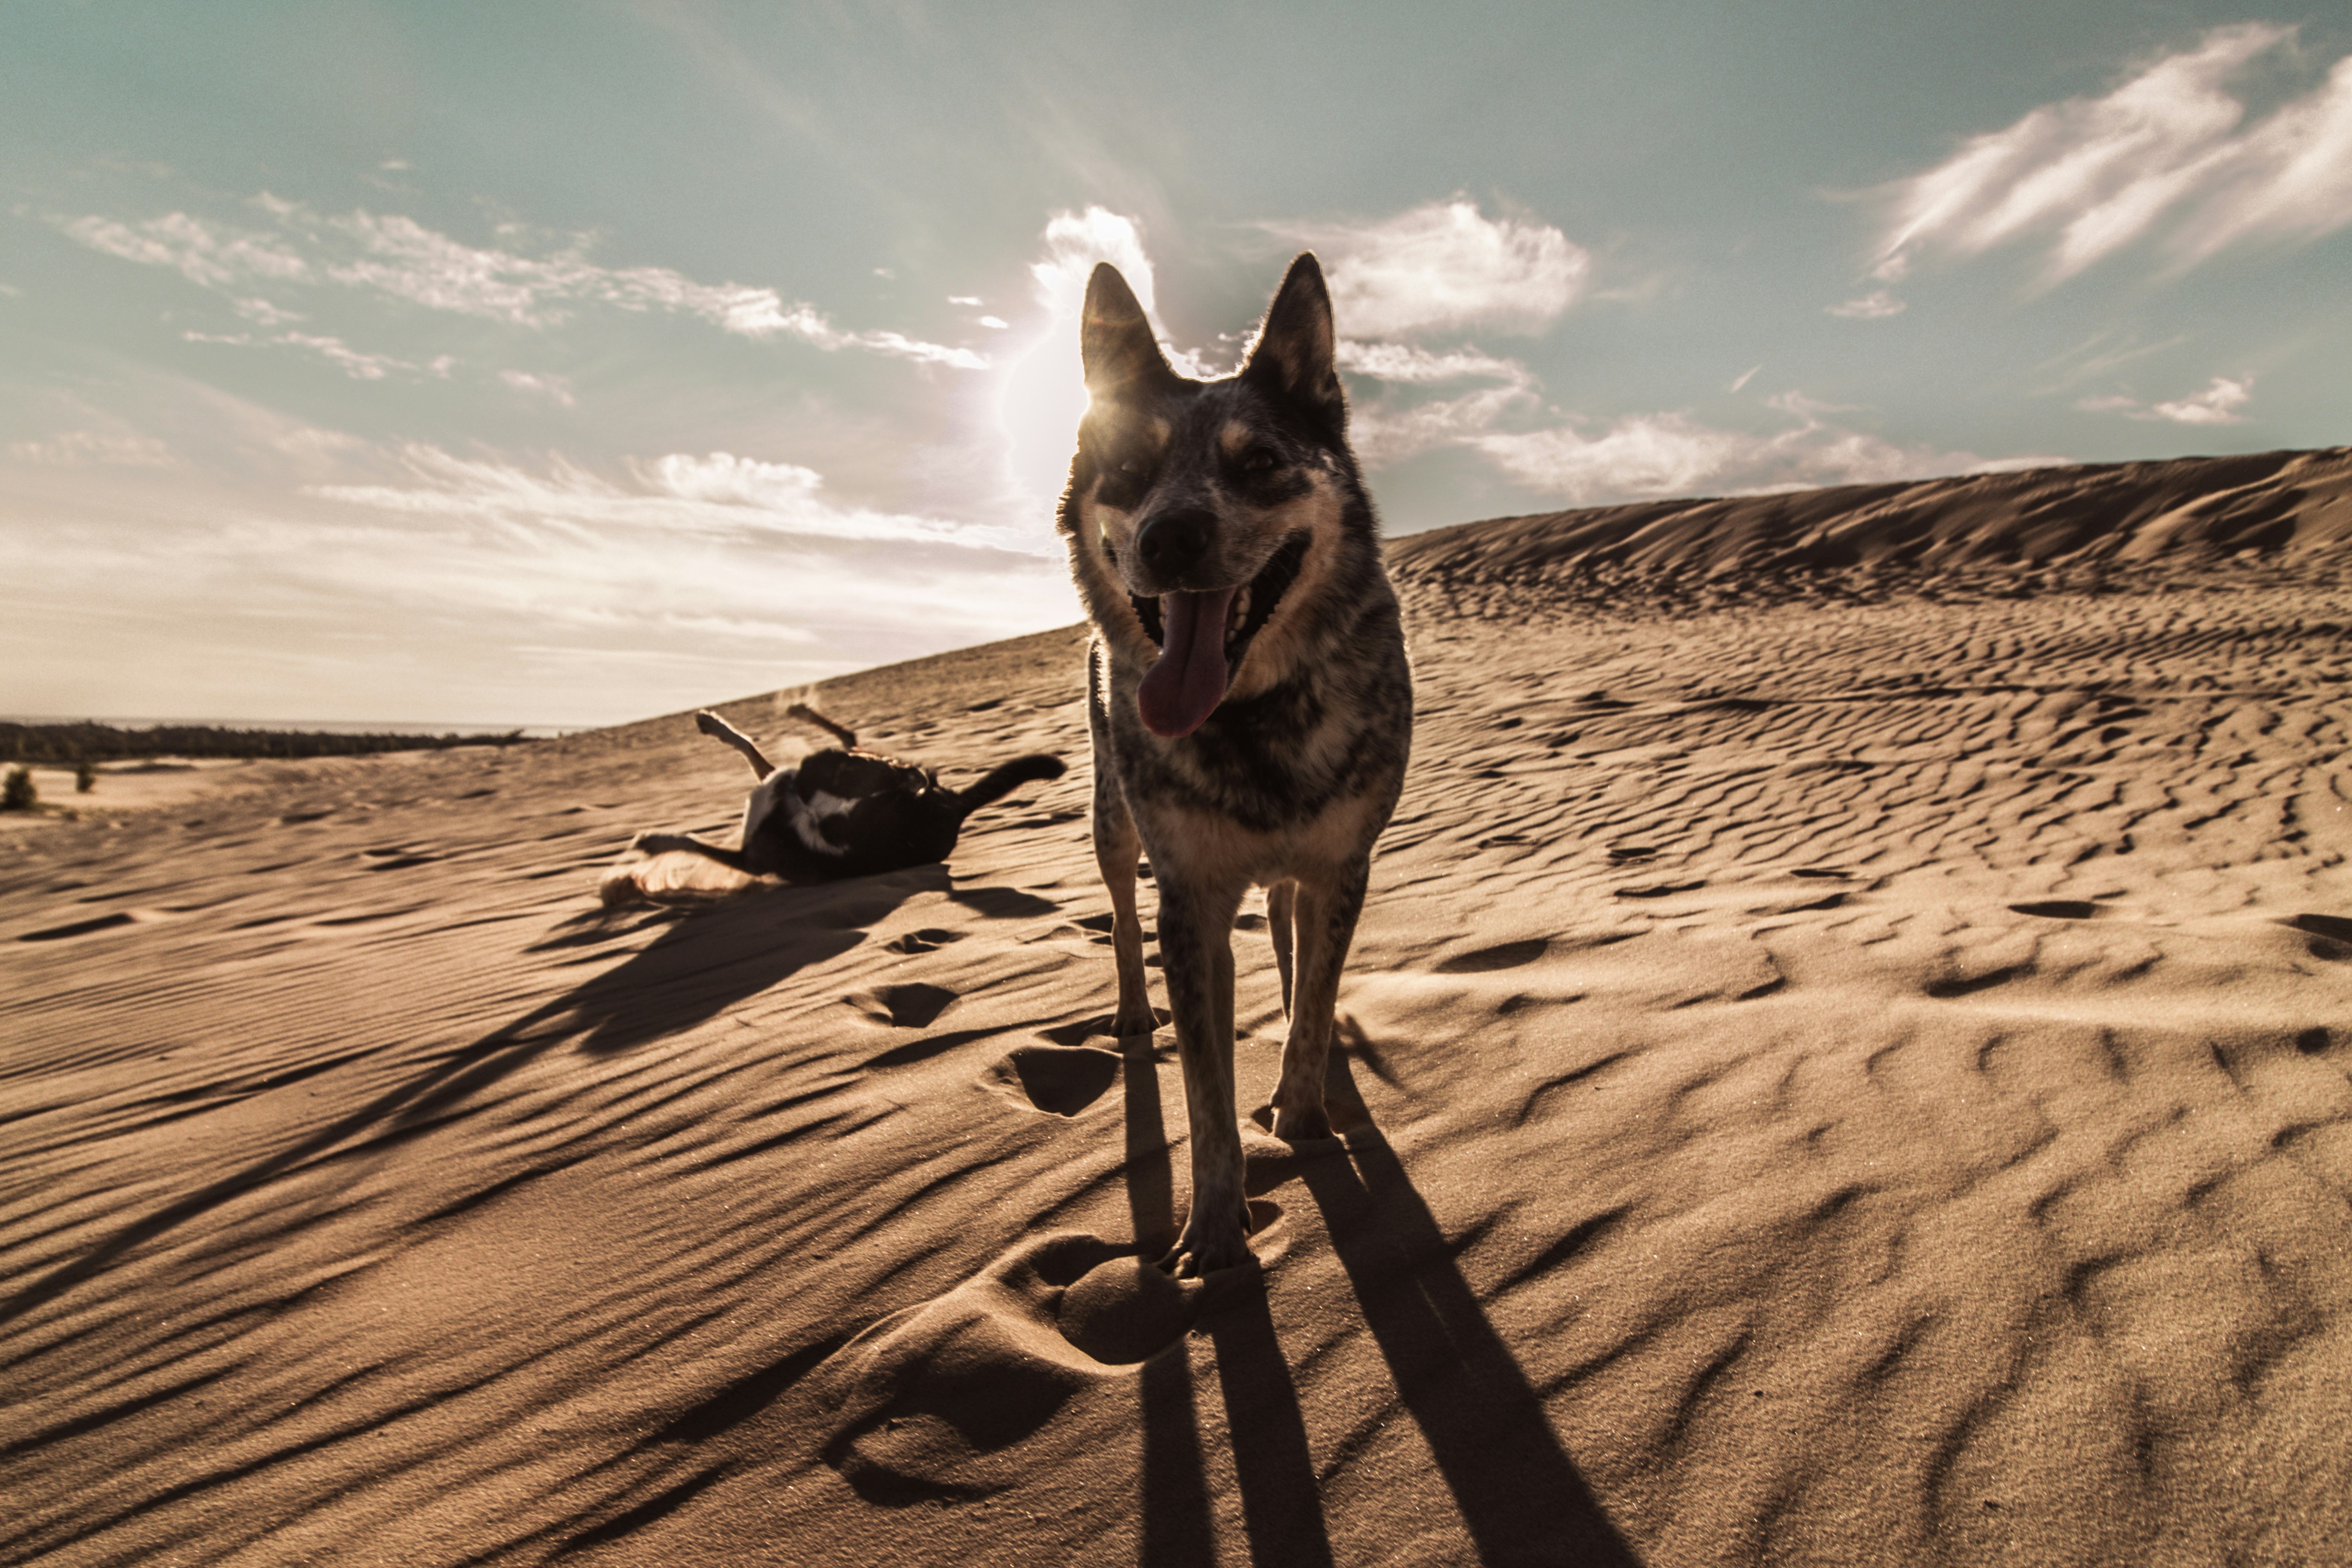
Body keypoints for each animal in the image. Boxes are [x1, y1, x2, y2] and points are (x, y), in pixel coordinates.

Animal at [1068, 248, 1411, 1279]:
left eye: (1258, 463)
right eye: (1130, 472)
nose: (1168, 539)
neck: (1252, 715)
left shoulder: (1342, 864)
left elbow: (1310, 1008)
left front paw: (1303, 1114)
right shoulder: (1192, 901)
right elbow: (1205, 1093)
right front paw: (1216, 1230)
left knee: (1298, 948)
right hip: (1110, 818)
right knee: (1118, 910)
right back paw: (1134, 1015)